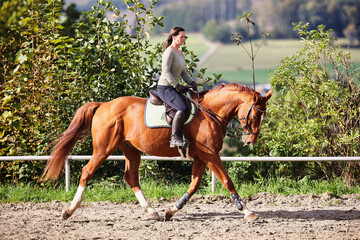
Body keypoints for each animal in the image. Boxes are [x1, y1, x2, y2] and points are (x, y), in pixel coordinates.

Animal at [42, 82, 272, 221]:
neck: (210, 113)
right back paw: (68, 210)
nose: (250, 141)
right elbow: (227, 180)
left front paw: (171, 210)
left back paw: (151, 211)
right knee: (87, 172)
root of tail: (103, 105)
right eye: (254, 116)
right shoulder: (210, 155)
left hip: (131, 150)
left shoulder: (201, 156)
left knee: (131, 177)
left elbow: (194, 185)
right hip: (104, 148)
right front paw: (247, 211)